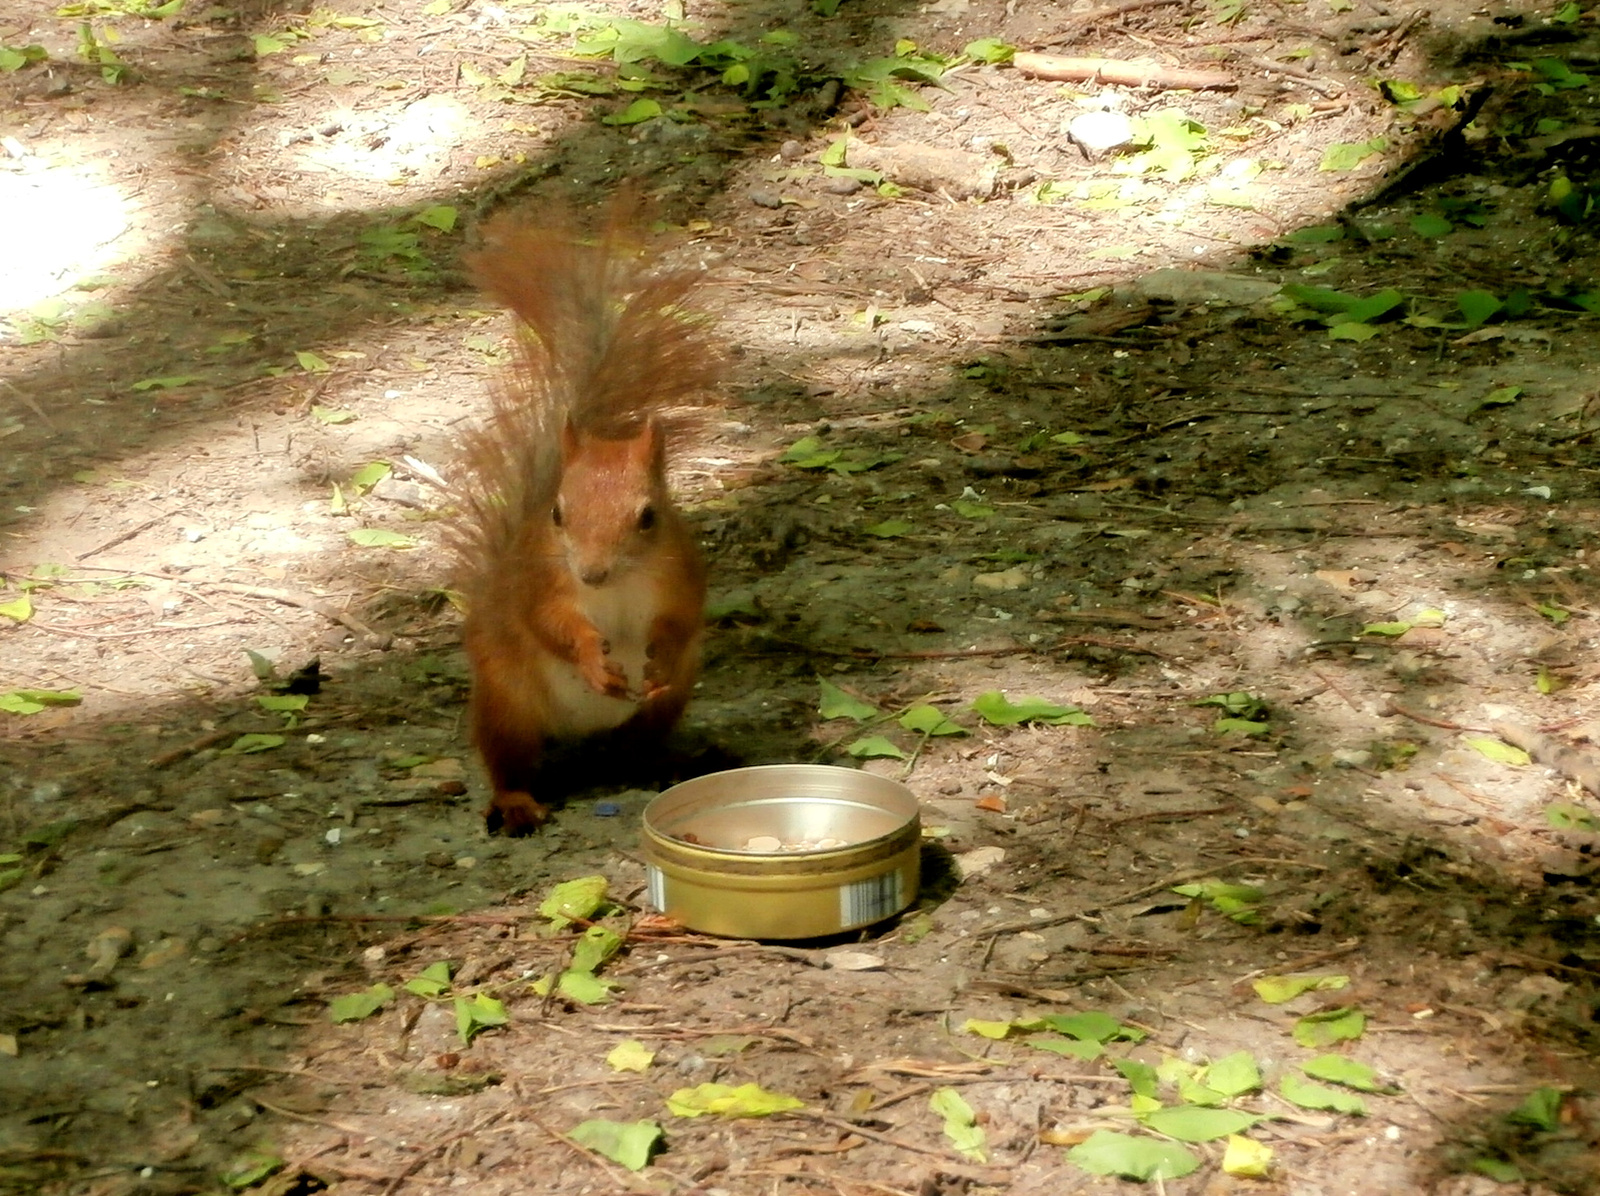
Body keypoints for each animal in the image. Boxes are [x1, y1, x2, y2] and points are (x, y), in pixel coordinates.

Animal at [454, 212, 723, 831]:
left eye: (648, 517)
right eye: (557, 512)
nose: (593, 573)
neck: (616, 587)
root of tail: (578, 737)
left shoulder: (680, 574)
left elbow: (680, 620)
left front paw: (657, 654)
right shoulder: (539, 581)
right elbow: (549, 624)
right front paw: (590, 658)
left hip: (666, 705)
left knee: (636, 746)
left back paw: (663, 765)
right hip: (506, 701)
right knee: (507, 760)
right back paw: (516, 802)